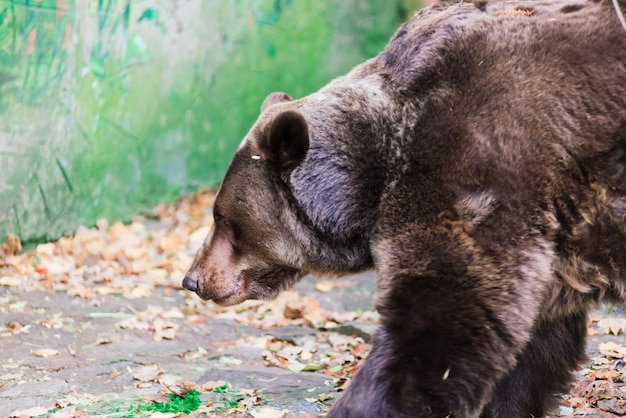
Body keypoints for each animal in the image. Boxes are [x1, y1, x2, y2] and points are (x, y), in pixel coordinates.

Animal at [183, 0, 624, 414]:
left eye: (223, 218)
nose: (193, 279)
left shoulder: (475, 170)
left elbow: (440, 326)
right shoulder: (548, 244)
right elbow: (533, 350)